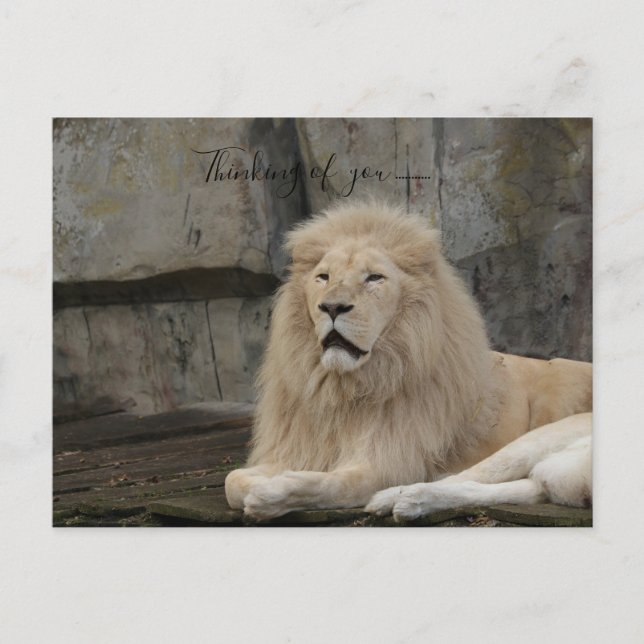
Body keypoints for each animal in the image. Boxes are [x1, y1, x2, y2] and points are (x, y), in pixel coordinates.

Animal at [224, 201, 592, 521]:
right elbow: (232, 481)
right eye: (323, 277)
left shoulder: (390, 462)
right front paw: (258, 485)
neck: (344, 389)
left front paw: (273, 493)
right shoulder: (296, 449)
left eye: (374, 278)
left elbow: (330, 483)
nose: (331, 307)